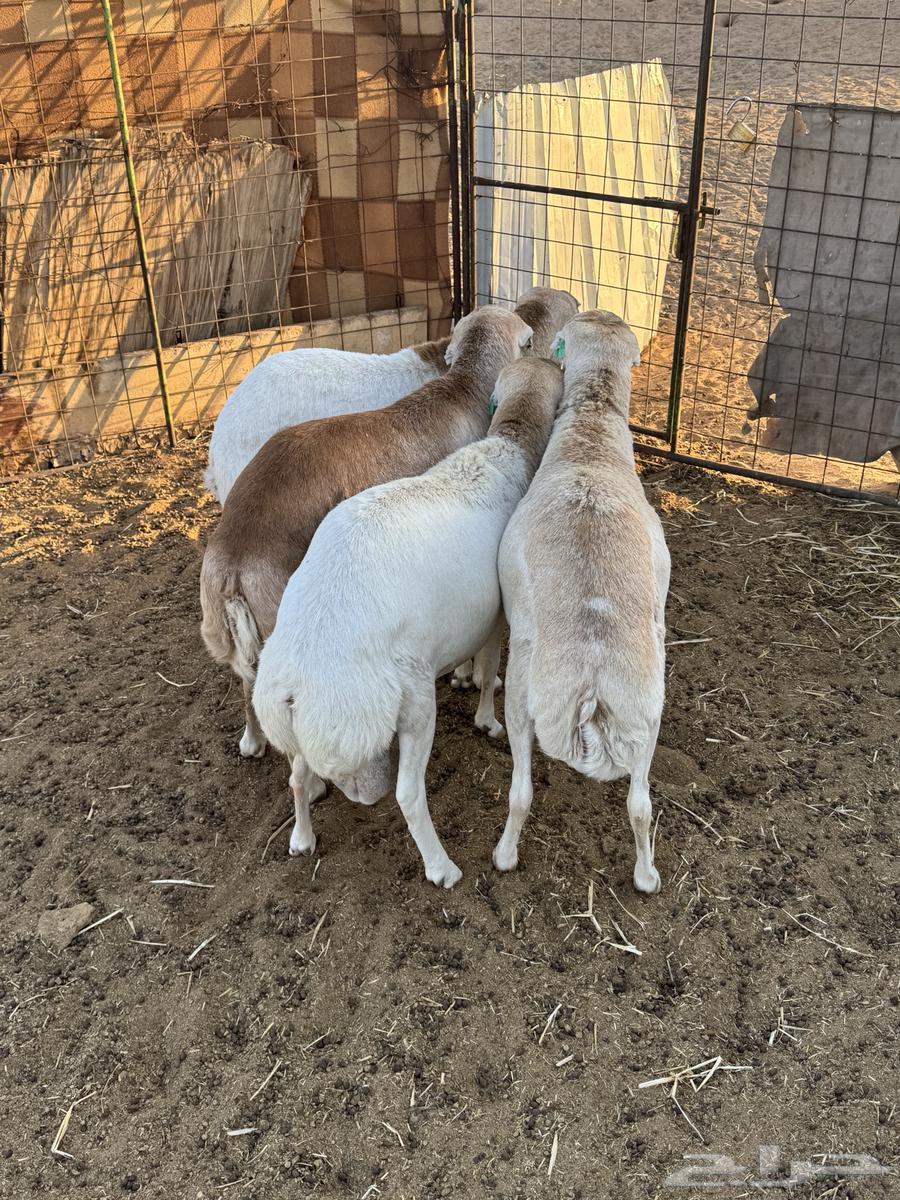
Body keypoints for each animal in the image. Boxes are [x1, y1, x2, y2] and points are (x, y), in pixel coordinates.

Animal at [252, 356, 564, 884]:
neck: (509, 447)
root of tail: (296, 679)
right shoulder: (498, 615)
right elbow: (488, 669)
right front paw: (487, 717)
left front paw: (465, 682)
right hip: (409, 699)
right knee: (406, 795)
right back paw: (441, 868)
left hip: (308, 731)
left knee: (296, 775)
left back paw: (301, 838)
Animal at [493, 309, 670, 895]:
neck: (592, 432)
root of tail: (592, 683)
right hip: (647, 712)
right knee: (640, 804)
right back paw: (646, 877)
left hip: (526, 695)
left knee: (521, 792)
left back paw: (504, 856)